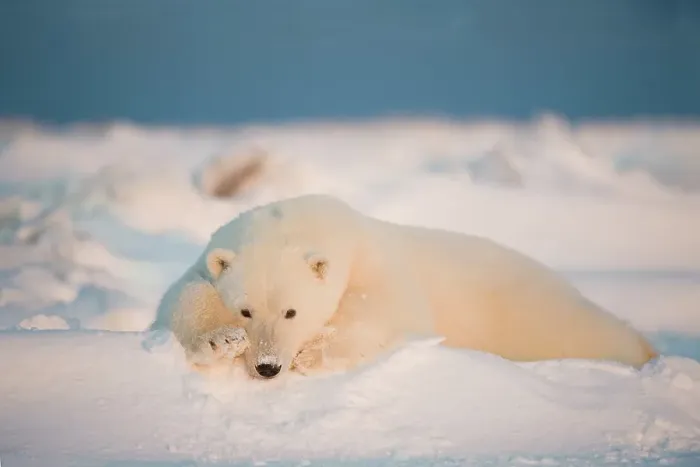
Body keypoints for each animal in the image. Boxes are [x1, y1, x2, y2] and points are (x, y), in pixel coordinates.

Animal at [168, 194, 658, 379]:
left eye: (292, 311)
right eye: (245, 310)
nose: (268, 367)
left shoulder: (376, 259)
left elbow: (389, 309)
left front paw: (314, 354)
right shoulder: (206, 262)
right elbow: (184, 297)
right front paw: (220, 341)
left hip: (536, 313)